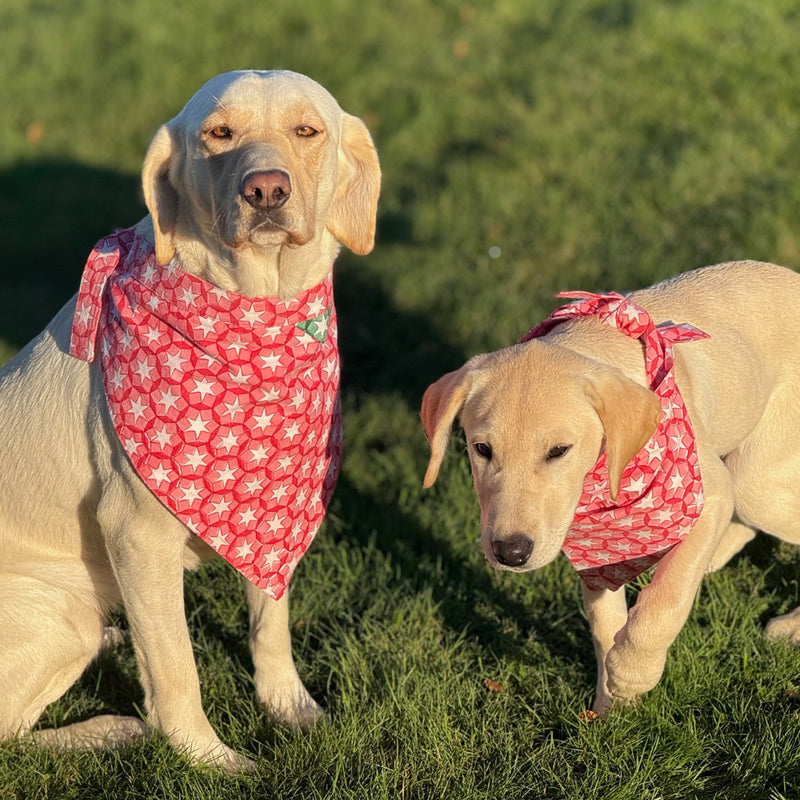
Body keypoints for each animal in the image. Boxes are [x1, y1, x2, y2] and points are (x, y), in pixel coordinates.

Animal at [0, 72, 382, 772]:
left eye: (307, 130)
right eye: (219, 133)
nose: (266, 189)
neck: (258, 308)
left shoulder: (273, 515)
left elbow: (269, 623)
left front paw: (290, 706)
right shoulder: (137, 535)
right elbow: (177, 668)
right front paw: (210, 758)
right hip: (57, 613)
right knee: (13, 735)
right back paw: (110, 729)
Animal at [424, 266, 800, 716]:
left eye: (559, 451)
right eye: (481, 449)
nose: (510, 553)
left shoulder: (711, 494)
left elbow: (665, 600)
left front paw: (631, 672)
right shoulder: (598, 550)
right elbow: (606, 621)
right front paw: (611, 705)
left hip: (751, 479)